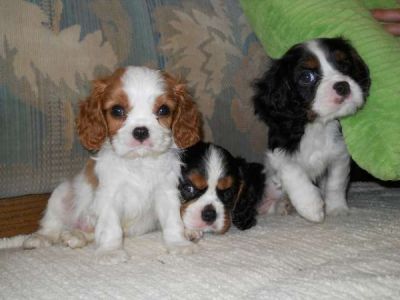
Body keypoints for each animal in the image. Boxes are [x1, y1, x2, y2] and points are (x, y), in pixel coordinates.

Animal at [252, 37, 370, 223]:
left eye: (344, 65)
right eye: (307, 77)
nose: (342, 86)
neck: (316, 126)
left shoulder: (339, 155)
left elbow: (336, 184)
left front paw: (337, 208)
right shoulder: (278, 153)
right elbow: (294, 173)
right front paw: (311, 207)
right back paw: (283, 206)